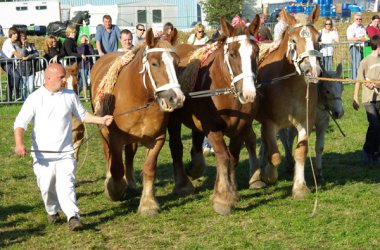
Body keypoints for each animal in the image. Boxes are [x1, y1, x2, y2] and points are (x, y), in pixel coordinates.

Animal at [88, 27, 186, 215]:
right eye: (154, 64)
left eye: (177, 64)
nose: (176, 98)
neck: (140, 99)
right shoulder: (115, 139)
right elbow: (116, 169)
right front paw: (114, 190)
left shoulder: (157, 139)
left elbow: (149, 169)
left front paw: (148, 203)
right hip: (104, 133)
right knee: (108, 156)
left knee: (129, 155)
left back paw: (131, 183)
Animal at [169, 15, 262, 215]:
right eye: (232, 54)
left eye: (256, 52)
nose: (249, 94)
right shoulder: (212, 128)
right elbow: (223, 156)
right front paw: (224, 198)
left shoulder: (240, 128)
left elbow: (232, 158)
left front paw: (224, 191)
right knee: (176, 147)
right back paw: (182, 184)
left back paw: (195, 166)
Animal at [249, 5, 324, 199]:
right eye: (294, 41)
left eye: (319, 38)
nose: (313, 70)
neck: (289, 84)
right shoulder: (269, 123)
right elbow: (275, 156)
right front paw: (269, 175)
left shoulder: (306, 121)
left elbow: (301, 152)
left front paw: (299, 187)